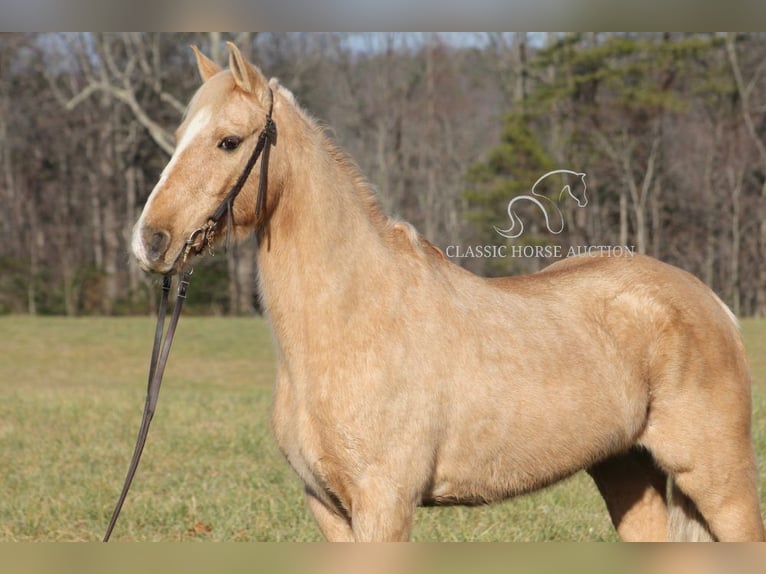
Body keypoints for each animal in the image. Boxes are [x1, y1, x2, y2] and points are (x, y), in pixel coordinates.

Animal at [134, 42, 766, 544]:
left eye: (229, 141)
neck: (351, 321)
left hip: (720, 482)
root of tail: (712, 304)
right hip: (626, 472)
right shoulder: (328, 509)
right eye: (177, 137)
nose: (150, 240)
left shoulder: (384, 505)